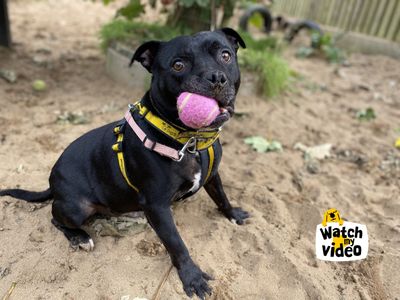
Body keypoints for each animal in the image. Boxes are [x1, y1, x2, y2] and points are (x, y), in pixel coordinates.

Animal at [0, 27, 248, 298]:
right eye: (178, 65)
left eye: (225, 55)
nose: (216, 77)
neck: (190, 141)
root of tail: (52, 181)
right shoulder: (157, 207)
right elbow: (176, 243)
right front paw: (192, 277)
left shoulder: (212, 176)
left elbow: (222, 197)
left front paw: (233, 214)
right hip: (77, 207)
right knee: (55, 218)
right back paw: (80, 238)